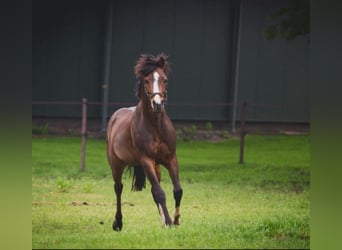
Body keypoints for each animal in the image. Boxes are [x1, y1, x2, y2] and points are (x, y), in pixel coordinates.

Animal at [106, 53, 182, 230]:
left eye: (165, 79)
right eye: (146, 80)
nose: (158, 104)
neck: (156, 127)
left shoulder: (170, 159)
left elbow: (177, 190)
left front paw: (175, 220)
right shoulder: (145, 160)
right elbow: (160, 193)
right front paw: (169, 222)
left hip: (156, 166)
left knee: (154, 191)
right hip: (116, 164)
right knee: (118, 188)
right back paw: (118, 222)